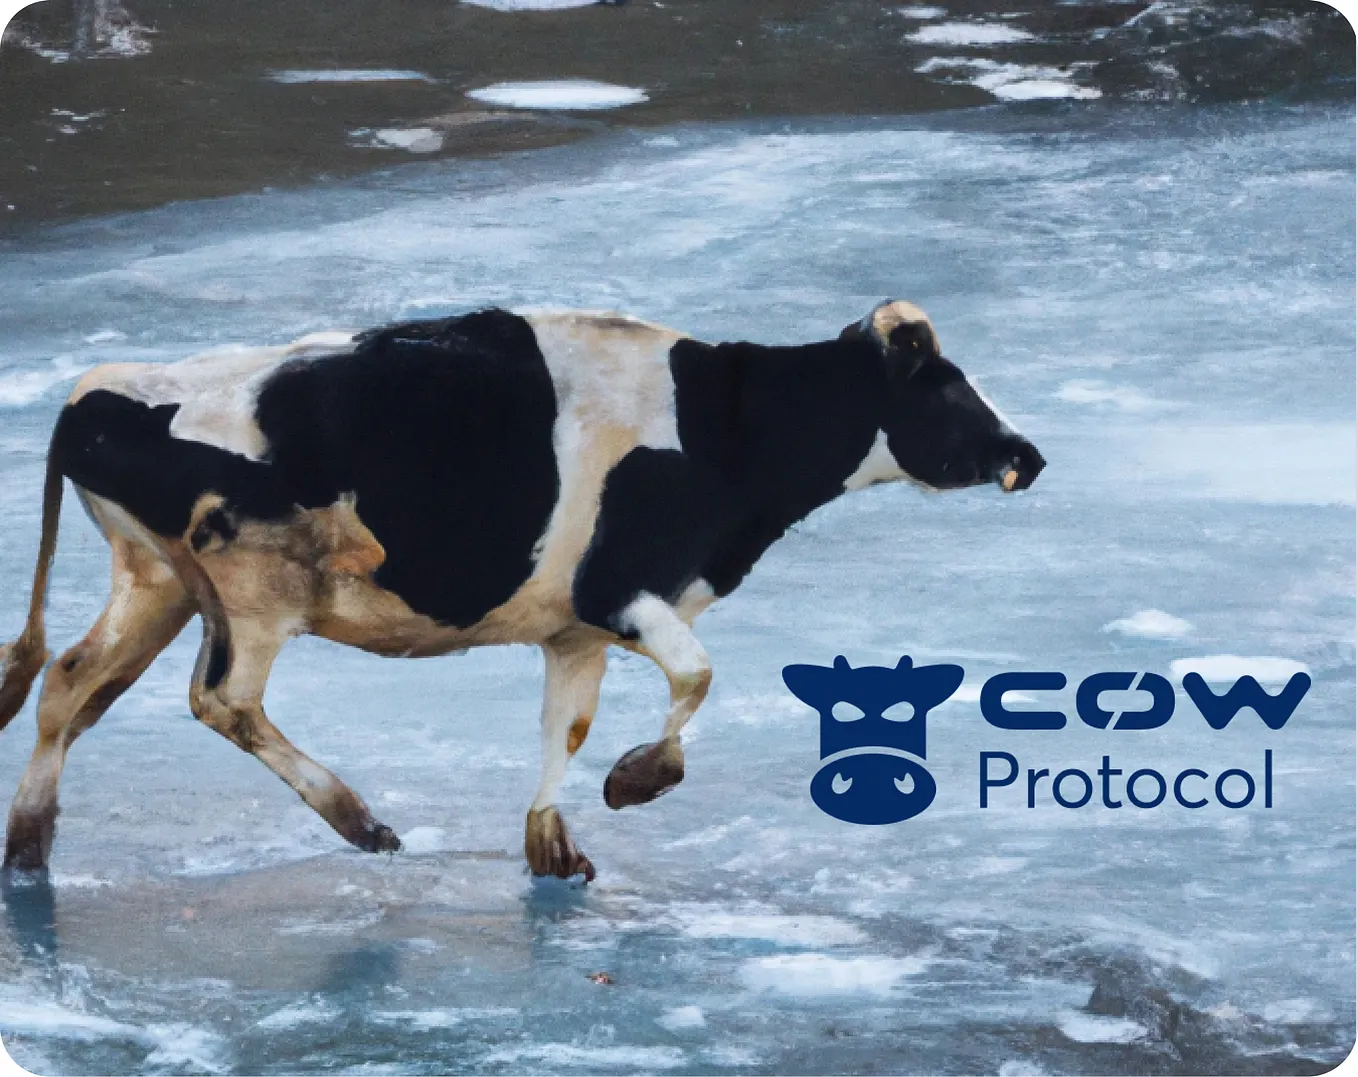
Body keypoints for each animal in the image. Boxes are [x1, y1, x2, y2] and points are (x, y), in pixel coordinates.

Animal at [0, 300, 1044, 881]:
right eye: (948, 386)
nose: (1025, 453)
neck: (726, 427)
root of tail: (94, 393)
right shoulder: (626, 588)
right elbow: (698, 675)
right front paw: (638, 780)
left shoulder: (575, 626)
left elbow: (565, 726)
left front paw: (551, 844)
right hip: (255, 592)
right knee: (219, 698)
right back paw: (360, 820)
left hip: (156, 584)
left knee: (68, 684)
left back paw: (29, 848)